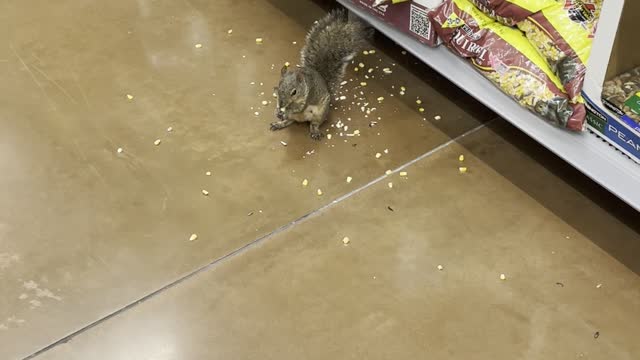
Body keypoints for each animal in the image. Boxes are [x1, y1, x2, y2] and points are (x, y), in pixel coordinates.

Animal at [268, 9, 370, 139]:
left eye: (294, 92)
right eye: (279, 85)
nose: (281, 104)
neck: (305, 86)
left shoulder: (308, 97)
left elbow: (298, 108)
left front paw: (286, 111)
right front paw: (277, 111)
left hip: (320, 113)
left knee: (314, 123)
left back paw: (314, 131)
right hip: (296, 118)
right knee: (290, 121)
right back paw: (279, 123)